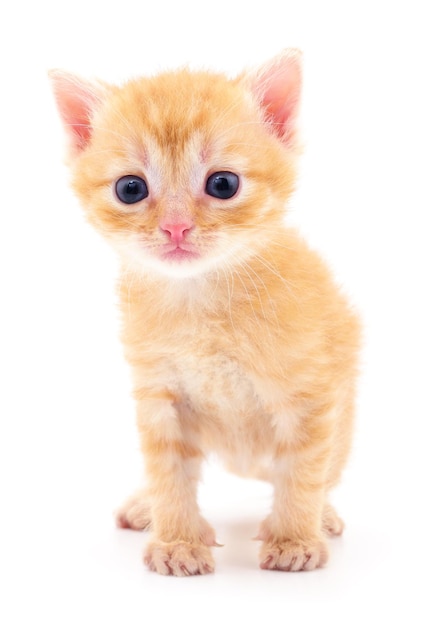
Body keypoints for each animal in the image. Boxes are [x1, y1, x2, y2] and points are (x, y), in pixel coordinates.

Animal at [50, 48, 360, 576]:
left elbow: (302, 469)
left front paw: (296, 537)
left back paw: (322, 514)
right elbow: (169, 471)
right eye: (130, 189)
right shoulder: (159, 395)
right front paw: (176, 539)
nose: (176, 228)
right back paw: (146, 507)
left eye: (223, 183)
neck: (199, 298)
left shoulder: (309, 394)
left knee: (322, 468)